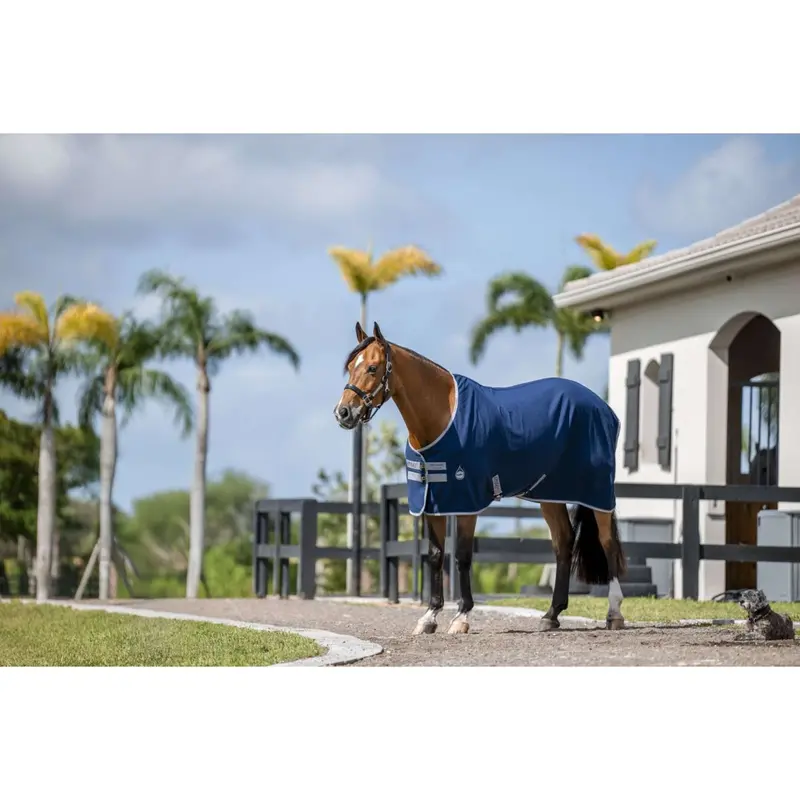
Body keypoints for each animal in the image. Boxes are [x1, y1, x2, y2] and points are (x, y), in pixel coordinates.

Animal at [334, 321, 627, 636]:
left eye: (372, 368)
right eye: (349, 366)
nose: (343, 413)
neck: (442, 417)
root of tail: (603, 408)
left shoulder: (466, 501)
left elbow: (462, 556)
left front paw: (461, 617)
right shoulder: (432, 501)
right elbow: (436, 555)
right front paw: (429, 617)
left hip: (597, 491)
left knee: (608, 543)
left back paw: (614, 614)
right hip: (549, 495)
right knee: (563, 543)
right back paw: (551, 615)